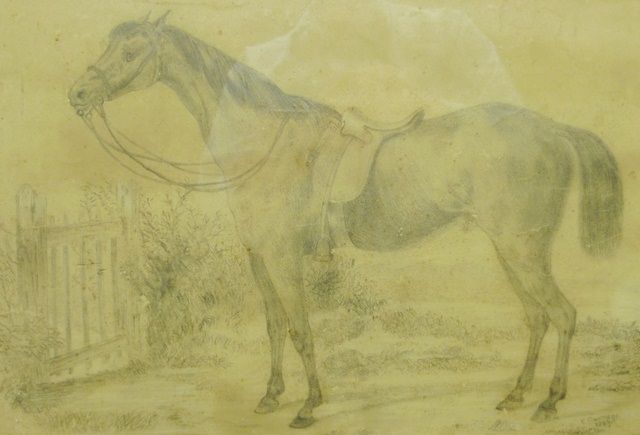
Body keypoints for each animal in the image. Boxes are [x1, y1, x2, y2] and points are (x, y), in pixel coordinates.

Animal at [68, 14, 623, 428]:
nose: (77, 94)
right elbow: (274, 327)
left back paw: (549, 401)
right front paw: (271, 396)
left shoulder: (283, 258)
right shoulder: (259, 259)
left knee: (563, 315)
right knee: (537, 318)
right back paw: (516, 395)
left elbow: (301, 329)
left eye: (132, 51)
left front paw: (309, 405)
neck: (262, 143)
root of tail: (552, 129)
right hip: (513, 252)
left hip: (521, 250)